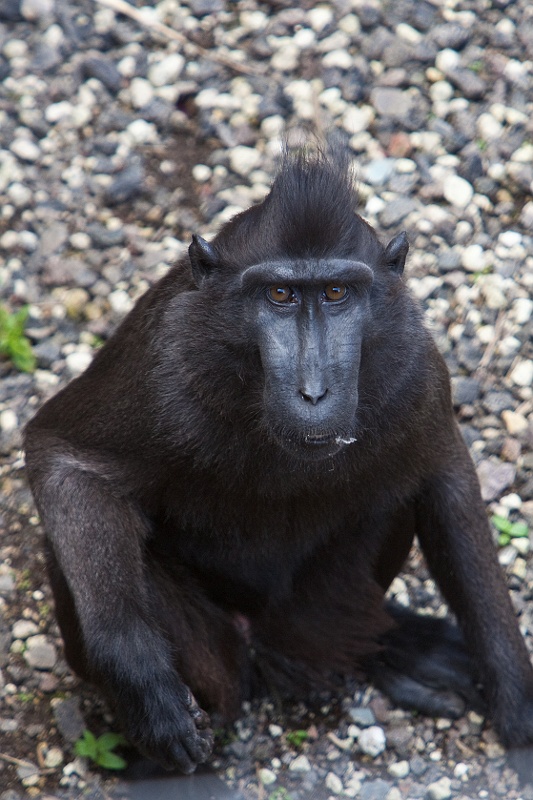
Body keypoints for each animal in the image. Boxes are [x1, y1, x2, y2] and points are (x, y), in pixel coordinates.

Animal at [24, 148, 533, 778]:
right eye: (281, 296)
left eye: (336, 293)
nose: (313, 393)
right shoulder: (159, 363)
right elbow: (66, 458)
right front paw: (141, 682)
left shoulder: (417, 370)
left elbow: (445, 482)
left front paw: (518, 702)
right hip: (219, 651)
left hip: (318, 614)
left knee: (395, 494)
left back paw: (391, 650)